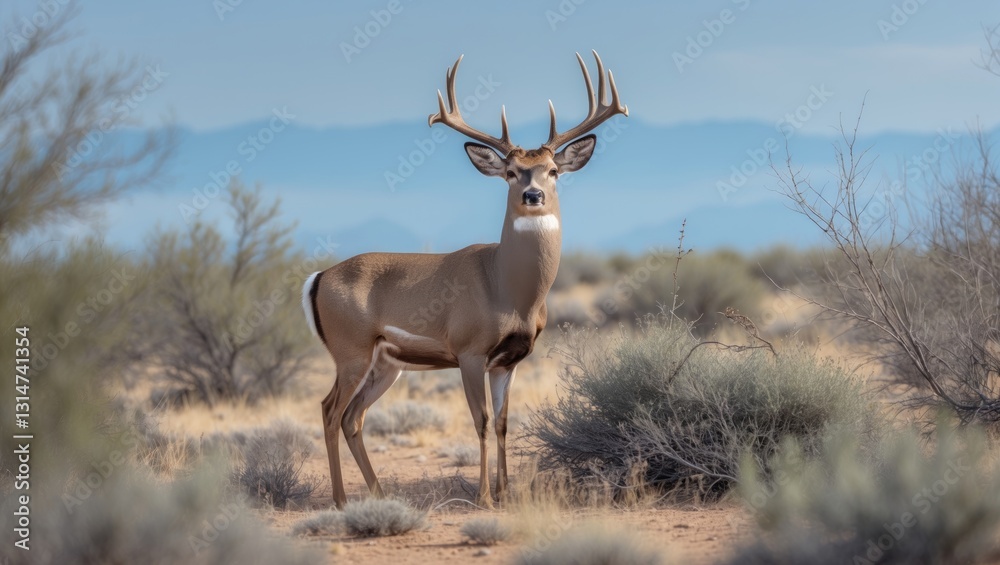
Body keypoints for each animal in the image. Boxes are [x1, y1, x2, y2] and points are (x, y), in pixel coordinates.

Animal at [302, 51, 628, 508]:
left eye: (552, 170)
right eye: (510, 171)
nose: (533, 196)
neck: (508, 288)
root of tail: (318, 277)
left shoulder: (509, 360)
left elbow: (505, 421)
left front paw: (507, 493)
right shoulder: (470, 351)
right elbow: (482, 421)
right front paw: (485, 496)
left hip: (385, 363)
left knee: (353, 417)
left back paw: (379, 494)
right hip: (351, 350)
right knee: (330, 410)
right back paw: (341, 501)